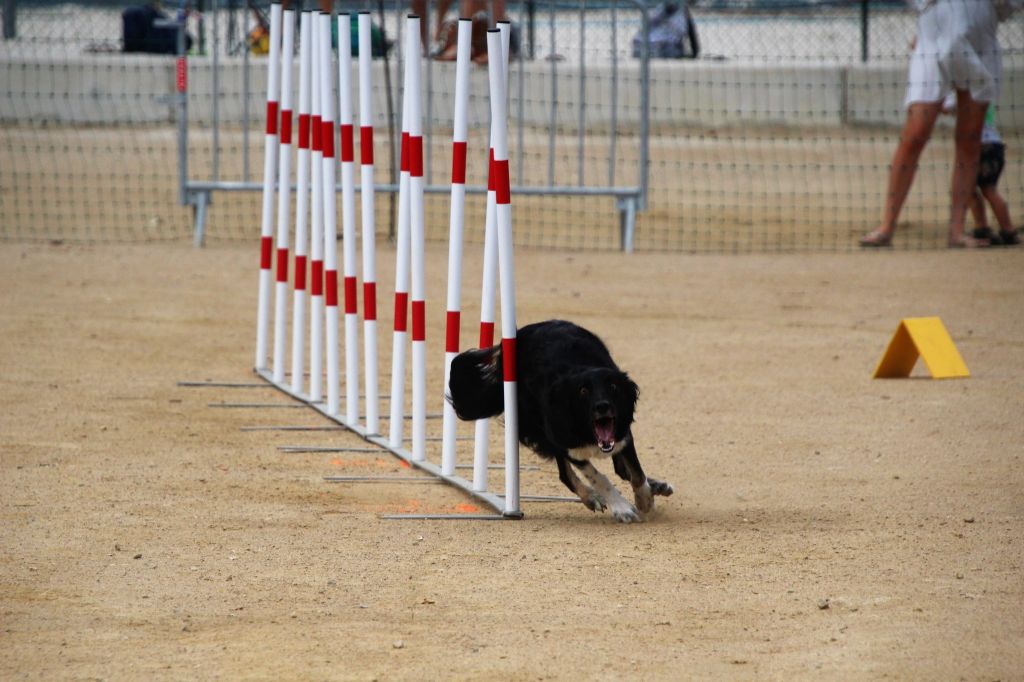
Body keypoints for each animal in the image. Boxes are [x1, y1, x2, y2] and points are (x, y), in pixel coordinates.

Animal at [448, 319, 671, 520]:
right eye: (583, 391)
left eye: (613, 386)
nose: (602, 406)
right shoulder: (566, 442)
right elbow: (598, 477)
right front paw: (621, 507)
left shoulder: (622, 434)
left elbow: (636, 472)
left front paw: (644, 498)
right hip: (537, 428)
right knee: (565, 475)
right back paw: (591, 497)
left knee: (620, 469)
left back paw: (656, 486)